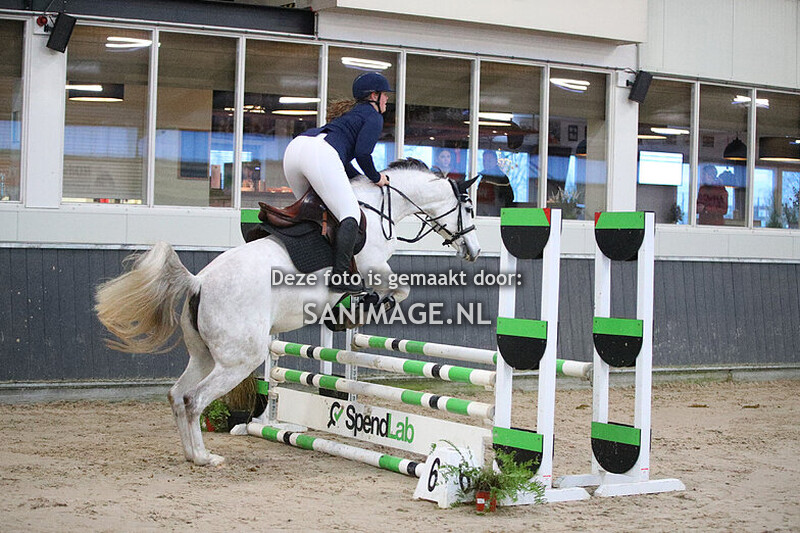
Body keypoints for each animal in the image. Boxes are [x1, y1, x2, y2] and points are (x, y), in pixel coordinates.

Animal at [95, 158, 481, 466]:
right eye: (470, 207)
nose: (474, 250)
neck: (377, 208)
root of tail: (198, 282)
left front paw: (348, 314)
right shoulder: (374, 267)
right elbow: (399, 289)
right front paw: (367, 307)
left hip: (205, 356)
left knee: (177, 395)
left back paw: (191, 453)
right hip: (240, 360)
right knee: (194, 399)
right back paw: (206, 458)